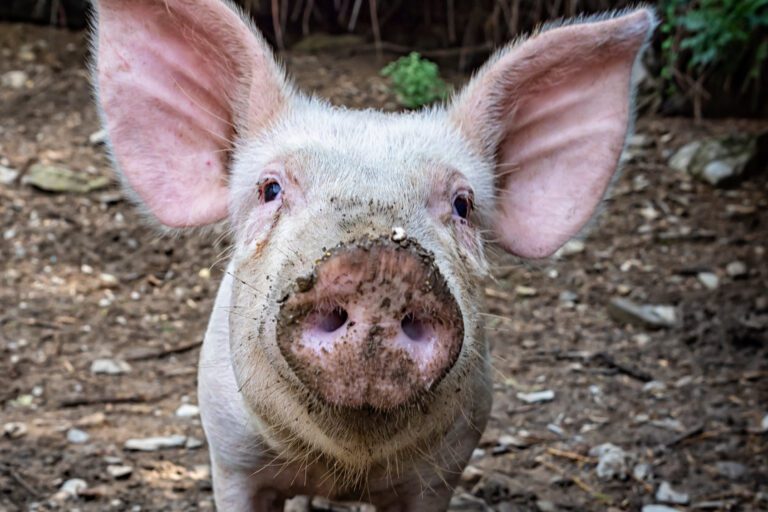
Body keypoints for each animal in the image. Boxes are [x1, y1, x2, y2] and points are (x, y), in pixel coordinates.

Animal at [92, 1, 655, 510]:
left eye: (463, 204)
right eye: (270, 189)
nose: (382, 266)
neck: (343, 470)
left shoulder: (444, 467)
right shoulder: (230, 456)